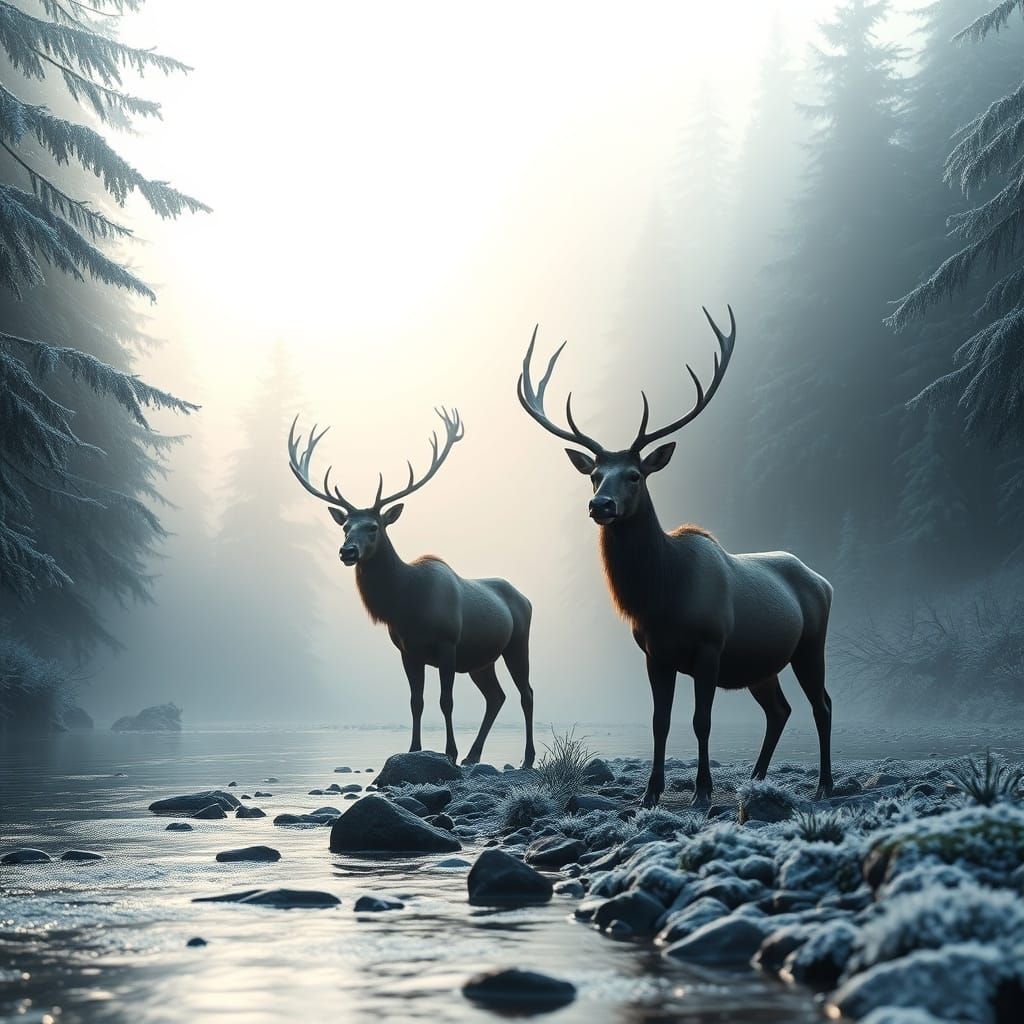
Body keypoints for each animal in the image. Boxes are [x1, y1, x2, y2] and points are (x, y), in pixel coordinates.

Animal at [287, 407, 535, 768]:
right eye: (345, 526)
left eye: (373, 526)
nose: (348, 551)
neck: (406, 605)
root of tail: (526, 598)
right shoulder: (407, 650)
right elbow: (415, 700)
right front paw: (415, 749)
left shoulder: (448, 643)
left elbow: (446, 700)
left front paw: (449, 752)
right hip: (481, 660)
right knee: (496, 696)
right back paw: (474, 755)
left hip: (517, 642)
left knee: (525, 693)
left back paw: (526, 758)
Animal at [518, 309, 834, 808]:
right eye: (594, 475)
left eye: (634, 474)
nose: (600, 505)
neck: (662, 595)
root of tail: (823, 581)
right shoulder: (655, 653)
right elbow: (659, 723)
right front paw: (649, 794)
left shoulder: (710, 644)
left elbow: (700, 721)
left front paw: (702, 792)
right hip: (761, 662)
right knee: (780, 710)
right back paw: (757, 778)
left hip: (811, 644)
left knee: (821, 704)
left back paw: (824, 784)